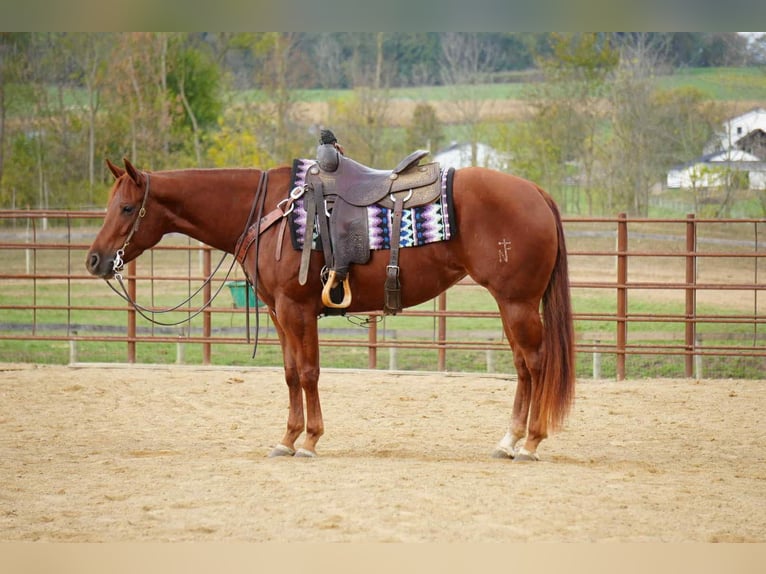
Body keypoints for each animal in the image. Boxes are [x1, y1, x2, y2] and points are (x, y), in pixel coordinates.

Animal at [86, 157, 575, 461]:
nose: (94, 260)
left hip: (516, 304)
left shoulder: (296, 309)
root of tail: (536, 191)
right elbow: (289, 374)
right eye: (109, 204)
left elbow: (308, 373)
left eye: (127, 207)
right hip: (512, 306)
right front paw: (286, 439)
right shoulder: (278, 313)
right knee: (524, 368)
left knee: (536, 364)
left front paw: (309, 440)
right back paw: (508, 440)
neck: (269, 212)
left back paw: (530, 443)